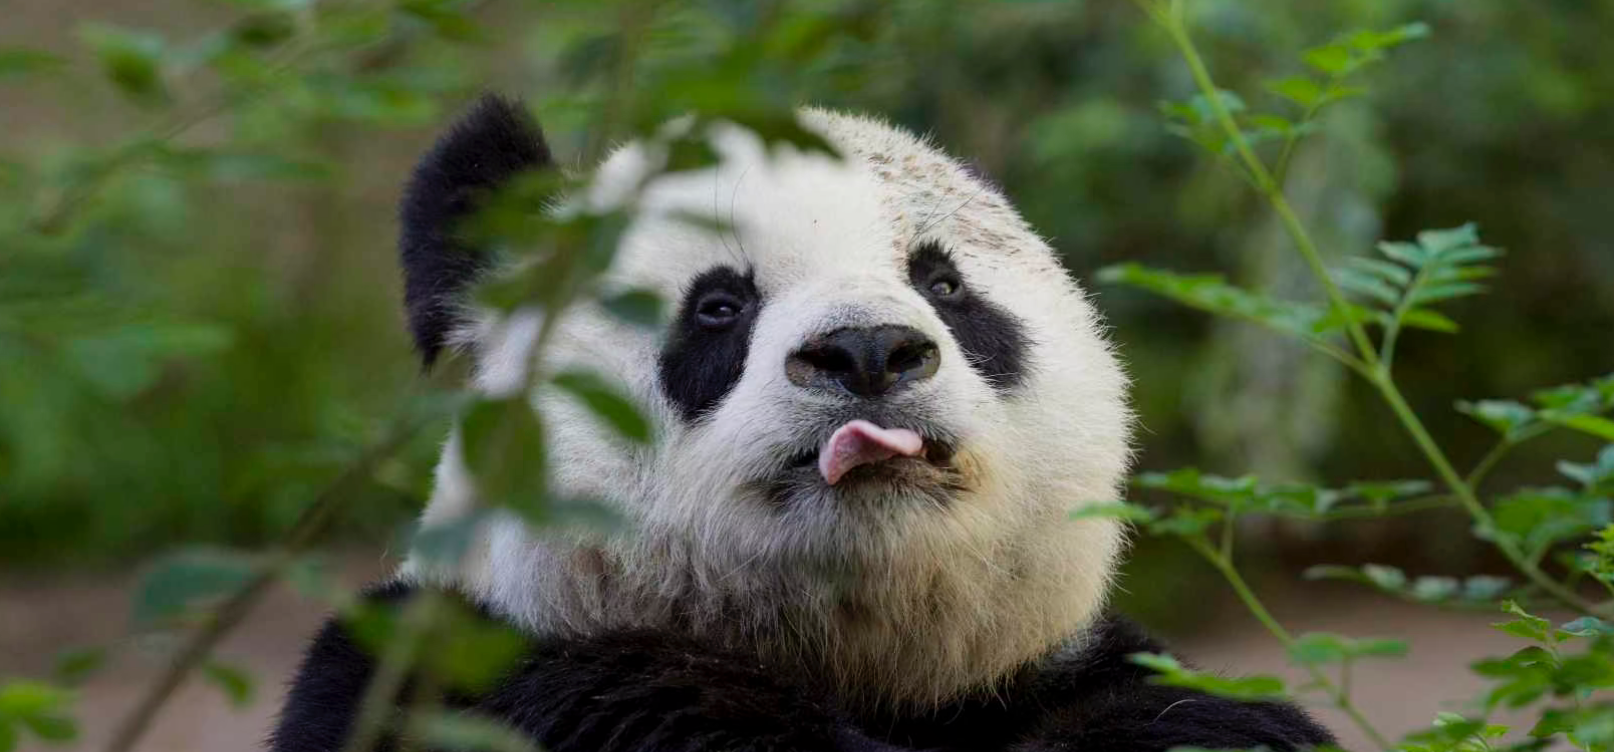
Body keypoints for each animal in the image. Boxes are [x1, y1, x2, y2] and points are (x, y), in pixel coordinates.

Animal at [270, 95, 1334, 752]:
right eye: (717, 307)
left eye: (945, 287)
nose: (867, 353)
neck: (854, 661)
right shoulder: (451, 675)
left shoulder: (1041, 678)